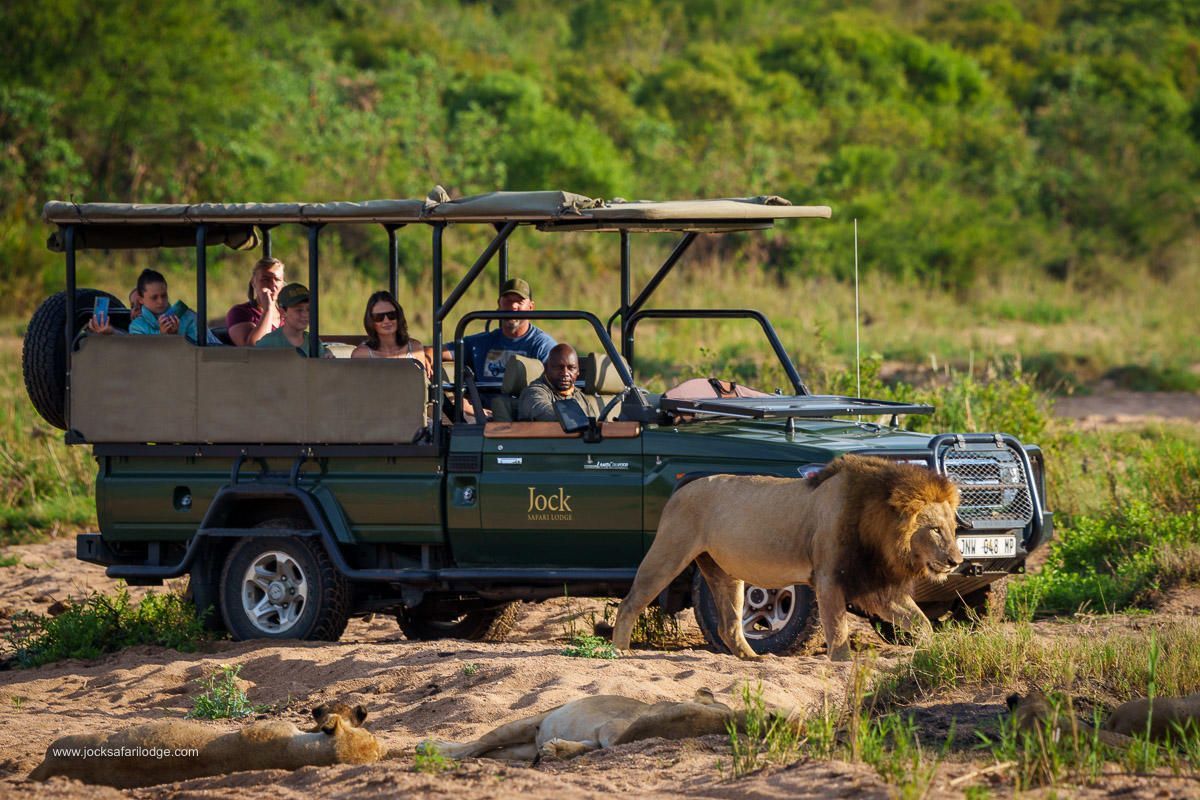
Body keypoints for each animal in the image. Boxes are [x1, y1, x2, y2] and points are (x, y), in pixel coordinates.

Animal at [612, 455, 963, 661]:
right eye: (934, 530)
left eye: (952, 528)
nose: (956, 561)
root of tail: (681, 489)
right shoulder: (829, 578)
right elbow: (838, 629)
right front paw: (843, 663)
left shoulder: (873, 584)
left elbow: (920, 621)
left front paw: (931, 649)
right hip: (668, 553)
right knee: (630, 602)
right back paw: (620, 652)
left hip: (723, 572)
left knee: (729, 624)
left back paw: (753, 659)